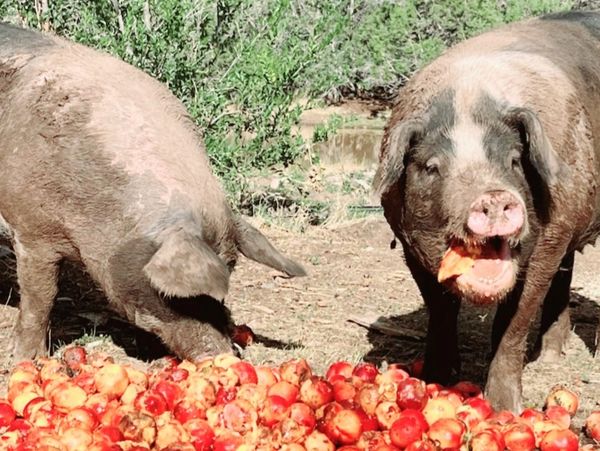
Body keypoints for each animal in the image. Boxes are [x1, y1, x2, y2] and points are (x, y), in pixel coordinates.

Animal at [0, 23, 304, 364]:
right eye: (176, 295)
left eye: (230, 269)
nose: (223, 354)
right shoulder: (32, 229)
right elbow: (41, 295)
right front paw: (27, 359)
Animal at [372, 10, 600, 414]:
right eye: (432, 167)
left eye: (513, 161)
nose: (493, 195)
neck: (469, 98)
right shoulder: (407, 240)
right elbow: (439, 310)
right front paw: (434, 379)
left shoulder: (549, 240)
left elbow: (515, 321)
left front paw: (506, 408)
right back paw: (552, 357)